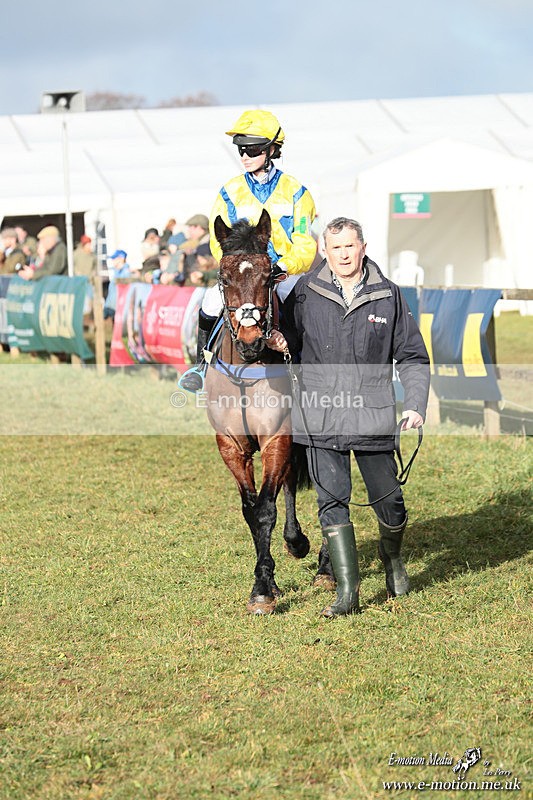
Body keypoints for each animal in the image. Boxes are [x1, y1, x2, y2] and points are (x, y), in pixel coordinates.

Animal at [204, 209, 310, 615]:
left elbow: (267, 507)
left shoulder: (277, 437)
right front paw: (268, 583)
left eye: (268, 275)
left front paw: (263, 589)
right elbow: (252, 510)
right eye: (224, 277)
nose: (251, 340)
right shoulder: (232, 446)